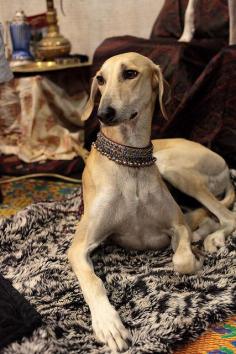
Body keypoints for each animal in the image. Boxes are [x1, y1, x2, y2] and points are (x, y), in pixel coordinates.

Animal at [67, 51, 235, 352]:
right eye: (100, 79)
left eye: (130, 73)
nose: (103, 114)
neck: (128, 159)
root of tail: (226, 167)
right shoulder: (79, 247)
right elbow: (93, 280)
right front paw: (108, 324)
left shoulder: (176, 225)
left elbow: (182, 260)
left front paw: (194, 258)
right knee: (209, 215)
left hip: (176, 170)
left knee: (223, 215)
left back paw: (210, 238)